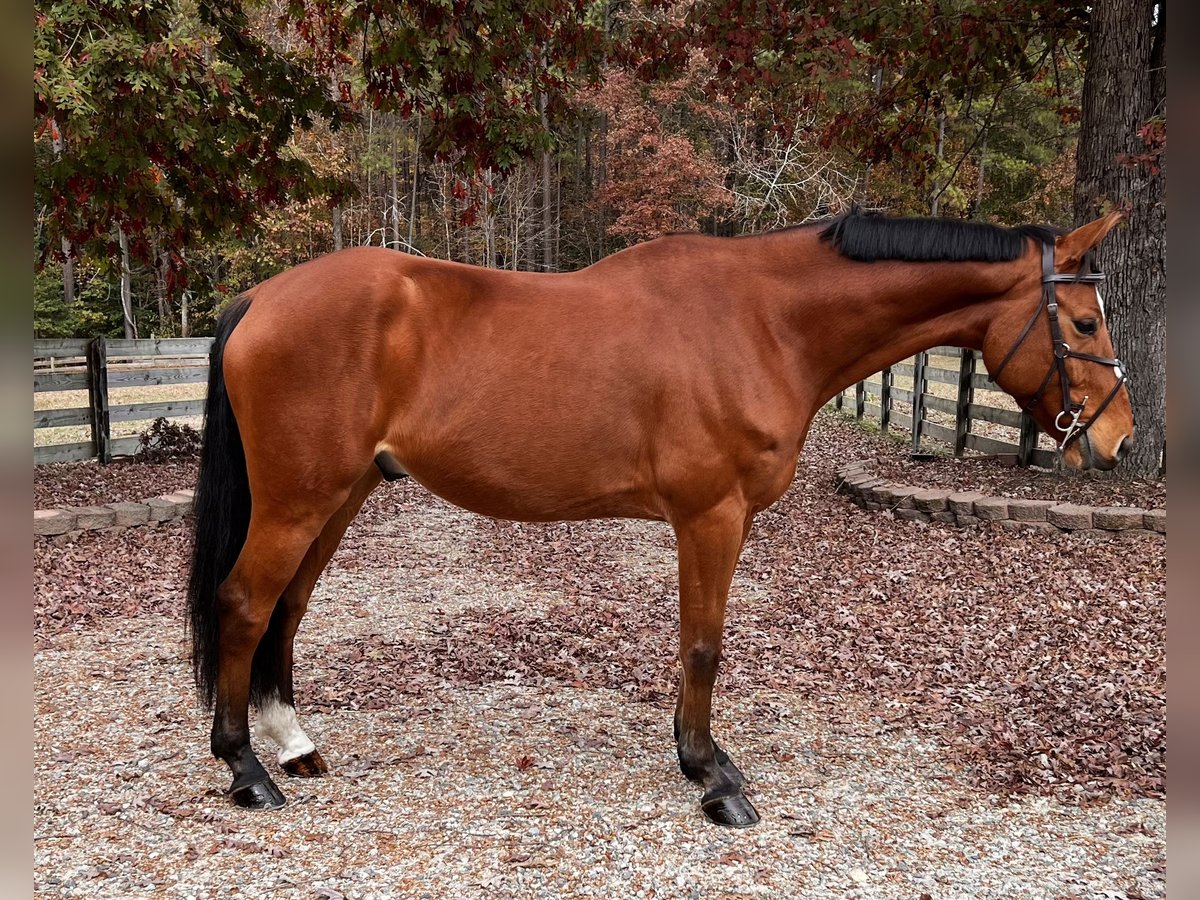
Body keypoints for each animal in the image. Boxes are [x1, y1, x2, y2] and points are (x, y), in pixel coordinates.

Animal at [187, 207, 1132, 830]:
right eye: (1085, 321)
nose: (1116, 439)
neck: (764, 321)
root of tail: (259, 300)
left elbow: (693, 643)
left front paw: (698, 757)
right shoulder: (712, 516)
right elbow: (704, 643)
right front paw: (715, 778)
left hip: (340, 494)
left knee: (286, 609)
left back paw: (292, 744)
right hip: (299, 499)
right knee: (244, 604)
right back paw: (246, 771)